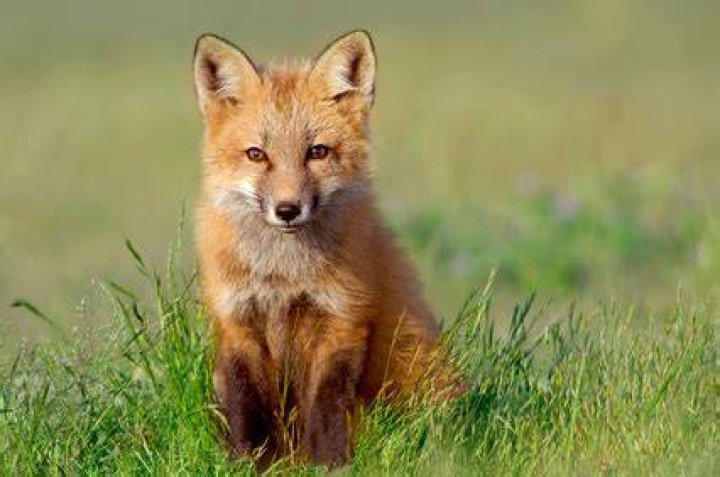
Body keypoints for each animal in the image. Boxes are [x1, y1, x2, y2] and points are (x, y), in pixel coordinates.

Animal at [192, 30, 460, 467]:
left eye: (316, 152)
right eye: (256, 155)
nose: (287, 210)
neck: (283, 275)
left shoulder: (342, 319)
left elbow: (326, 405)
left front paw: (328, 464)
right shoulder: (237, 322)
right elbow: (245, 406)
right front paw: (249, 463)